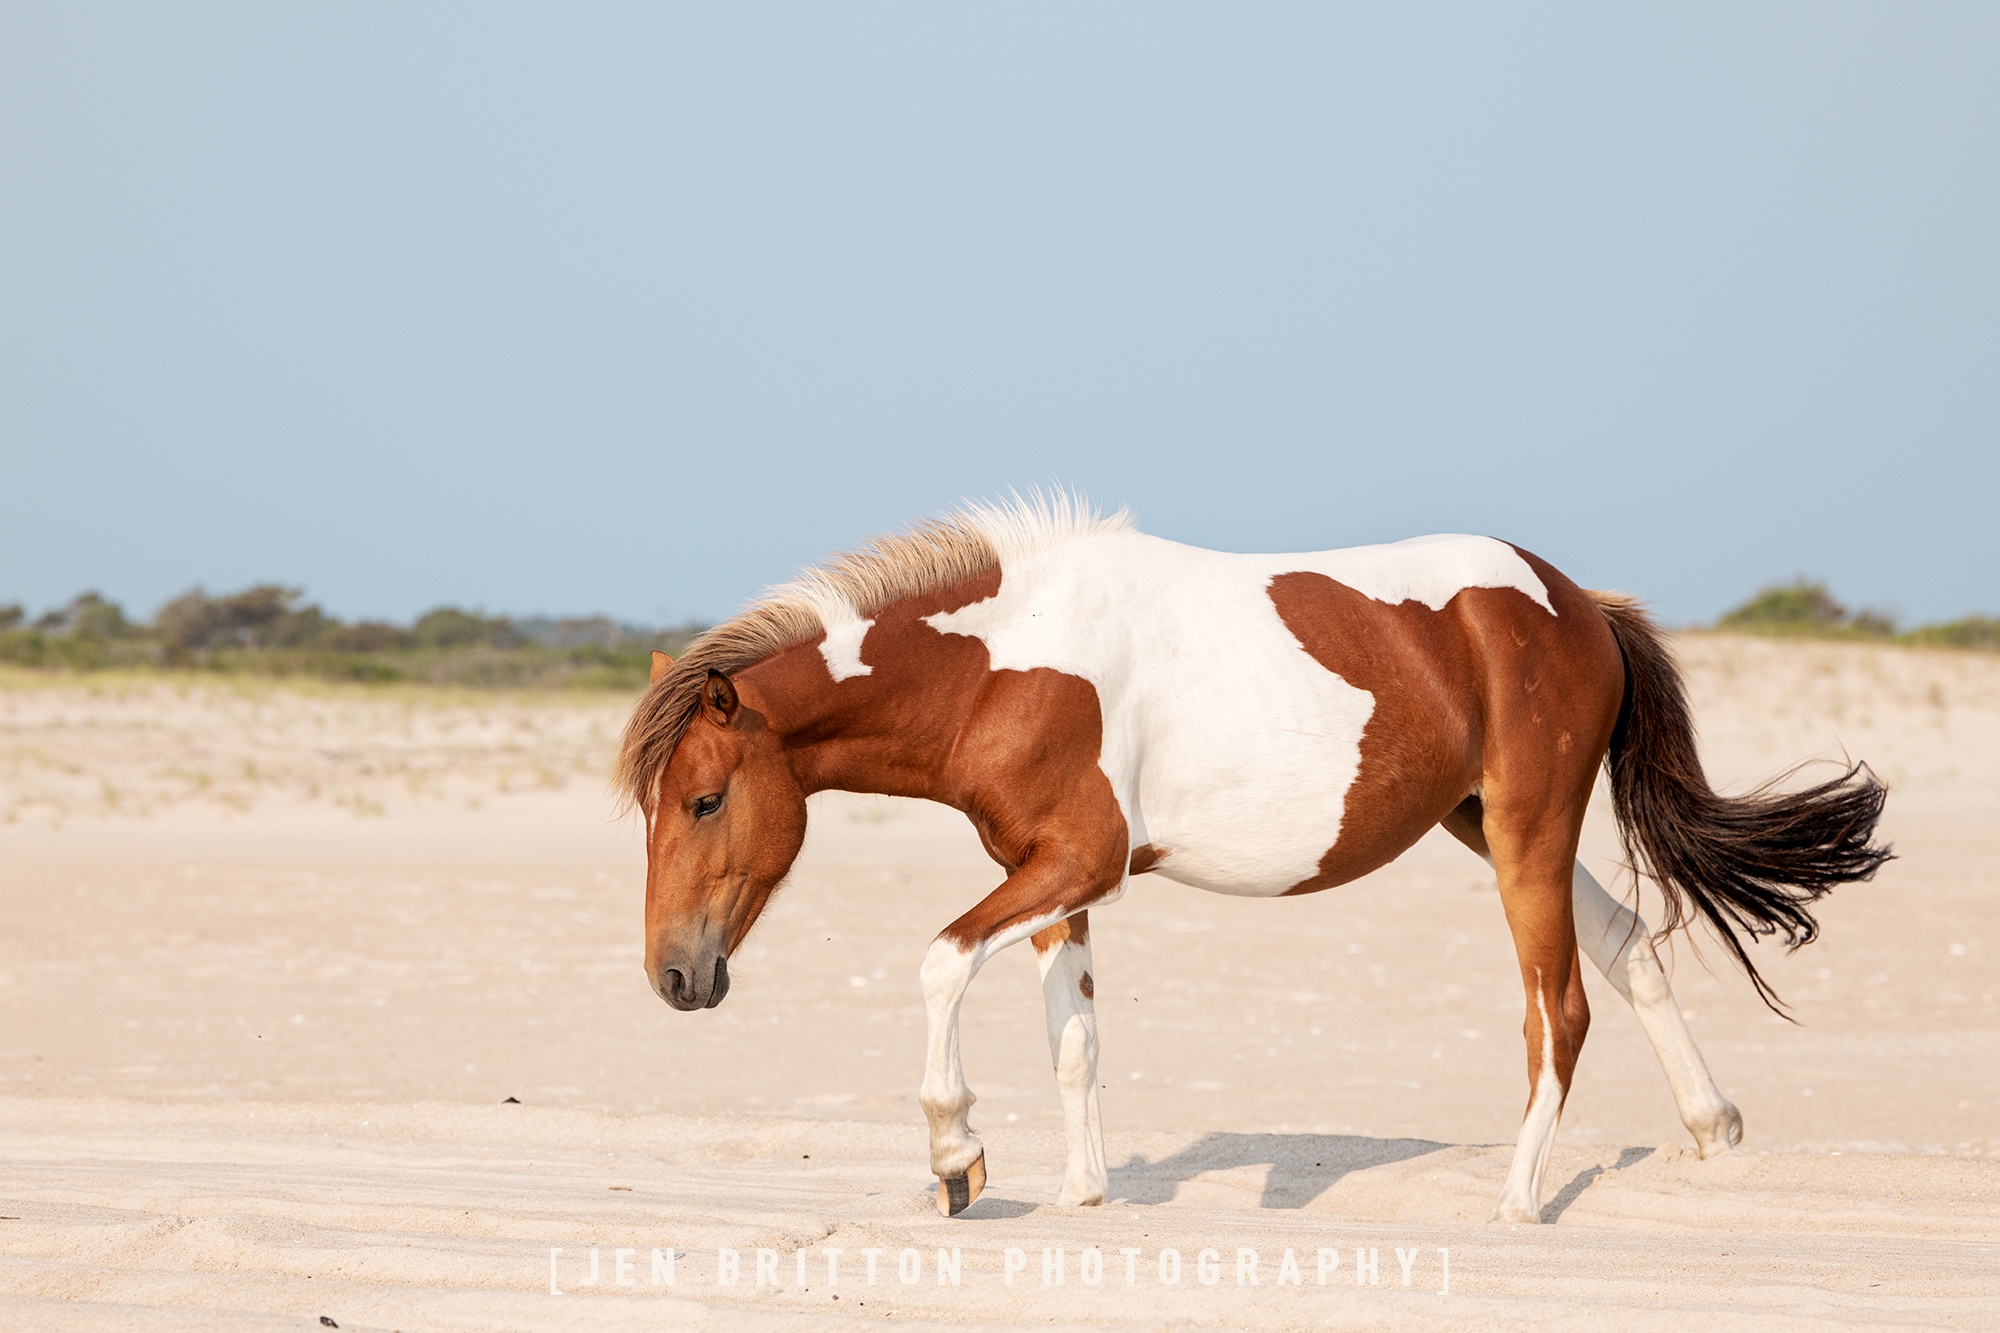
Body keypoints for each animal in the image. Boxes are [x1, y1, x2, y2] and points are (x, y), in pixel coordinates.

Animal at [618, 495, 1888, 1223]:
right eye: (653, 807)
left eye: (705, 798)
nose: (675, 977)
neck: (999, 665)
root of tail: (1574, 601)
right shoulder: (1051, 878)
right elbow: (1073, 1039)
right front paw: (1081, 1191)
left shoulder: (1079, 860)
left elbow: (938, 962)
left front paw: (957, 1156)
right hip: (1482, 822)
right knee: (1627, 946)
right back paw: (1711, 1130)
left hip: (1528, 827)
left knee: (1558, 1006)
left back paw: (1519, 1198)